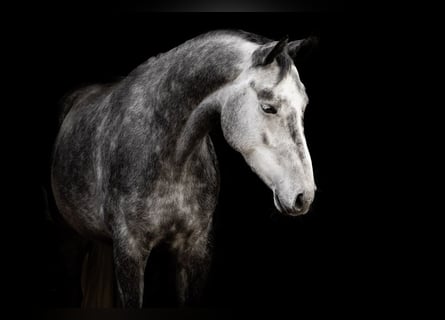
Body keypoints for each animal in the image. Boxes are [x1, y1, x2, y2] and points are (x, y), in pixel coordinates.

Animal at [51, 29, 316, 308]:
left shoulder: (195, 249)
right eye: (268, 107)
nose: (304, 196)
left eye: (303, 106)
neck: (170, 158)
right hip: (67, 238)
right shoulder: (129, 251)